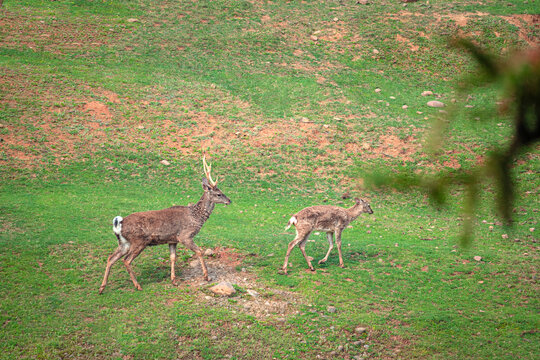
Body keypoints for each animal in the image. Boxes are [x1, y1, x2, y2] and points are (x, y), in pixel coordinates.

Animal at [99, 156, 230, 294]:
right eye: (219, 194)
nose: (229, 200)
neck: (196, 216)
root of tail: (119, 222)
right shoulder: (185, 236)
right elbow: (199, 251)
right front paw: (206, 276)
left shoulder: (172, 240)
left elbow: (173, 257)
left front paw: (174, 280)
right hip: (139, 241)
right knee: (126, 260)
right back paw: (137, 285)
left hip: (124, 243)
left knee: (111, 258)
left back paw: (102, 288)